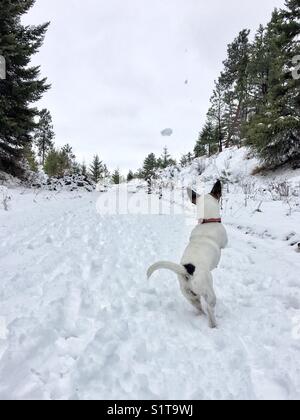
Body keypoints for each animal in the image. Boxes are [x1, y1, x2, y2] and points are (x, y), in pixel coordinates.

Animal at [147, 180, 227, 328]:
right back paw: (213, 324)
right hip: (208, 293)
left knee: (199, 307)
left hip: (190, 295)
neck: (207, 221)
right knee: (209, 308)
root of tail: (186, 269)